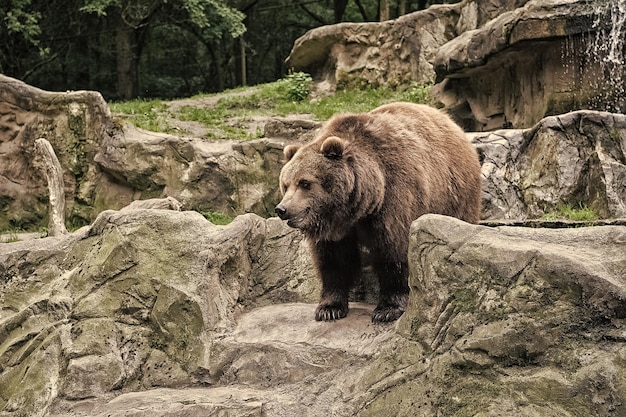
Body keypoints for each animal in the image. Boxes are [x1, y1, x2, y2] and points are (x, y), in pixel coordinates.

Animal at [276, 101, 480, 322]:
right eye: (285, 184)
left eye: (304, 183)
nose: (282, 209)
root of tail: (452, 123)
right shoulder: (335, 228)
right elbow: (333, 260)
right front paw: (329, 308)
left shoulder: (394, 197)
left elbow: (393, 252)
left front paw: (387, 309)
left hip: (454, 194)